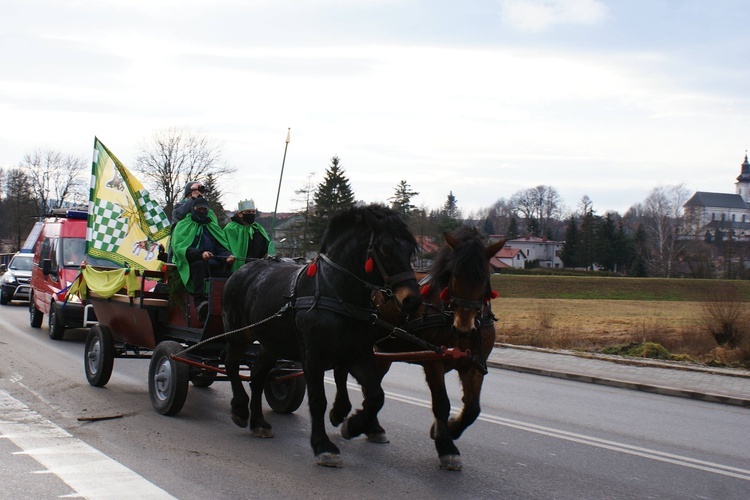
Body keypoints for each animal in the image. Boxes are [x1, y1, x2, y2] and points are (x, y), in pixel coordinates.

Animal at [222, 201, 424, 466]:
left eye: (410, 250)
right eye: (386, 248)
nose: (412, 299)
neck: (337, 293)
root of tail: (244, 269)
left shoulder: (359, 354)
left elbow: (376, 395)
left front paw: (353, 425)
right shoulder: (313, 357)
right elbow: (318, 400)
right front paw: (323, 445)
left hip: (271, 344)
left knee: (256, 376)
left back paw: (258, 423)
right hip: (239, 335)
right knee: (231, 365)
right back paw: (238, 408)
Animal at [328, 227, 506, 468]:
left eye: (484, 276)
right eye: (453, 273)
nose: (463, 327)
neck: (447, 312)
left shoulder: (474, 365)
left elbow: (472, 409)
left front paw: (450, 428)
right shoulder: (433, 362)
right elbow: (441, 404)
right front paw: (446, 445)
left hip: (383, 351)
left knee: (371, 385)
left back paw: (372, 427)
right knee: (342, 370)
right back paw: (341, 413)